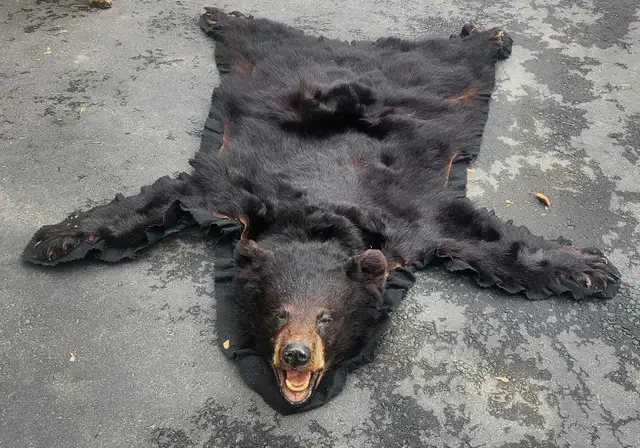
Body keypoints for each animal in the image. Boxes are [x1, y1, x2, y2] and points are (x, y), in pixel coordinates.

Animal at [23, 8, 620, 410]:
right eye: (278, 312)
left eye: (326, 318)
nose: (296, 355)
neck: (319, 219)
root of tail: (355, 49)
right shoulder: (233, 188)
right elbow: (168, 196)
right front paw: (53, 239)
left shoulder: (412, 216)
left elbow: (482, 239)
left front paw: (593, 269)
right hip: (264, 63)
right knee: (257, 34)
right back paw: (220, 14)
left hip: (443, 79)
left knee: (457, 57)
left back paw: (490, 35)